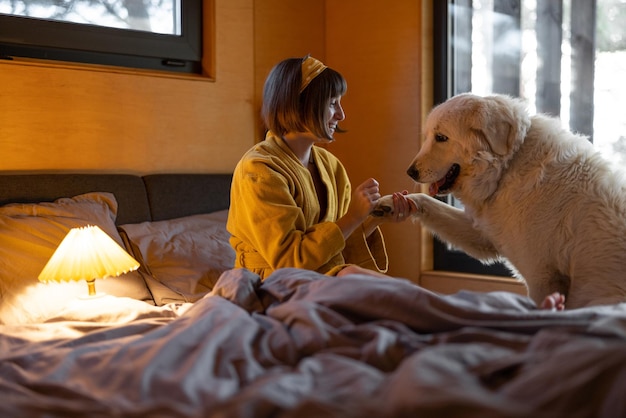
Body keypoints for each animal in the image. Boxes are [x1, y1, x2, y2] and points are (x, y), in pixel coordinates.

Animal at [372, 94, 624, 310]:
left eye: (441, 138)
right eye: (427, 136)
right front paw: (393, 204)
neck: (507, 167)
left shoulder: (542, 277)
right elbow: (425, 200)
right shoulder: (483, 234)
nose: (410, 172)